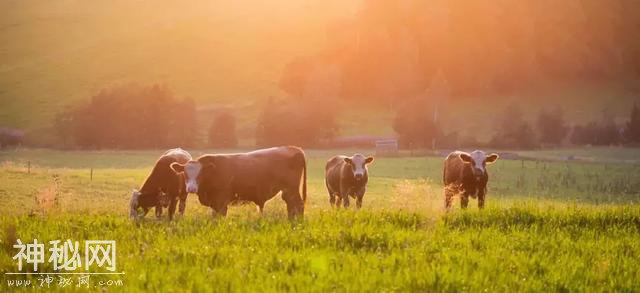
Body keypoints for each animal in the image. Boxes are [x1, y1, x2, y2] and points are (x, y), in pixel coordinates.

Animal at [169, 146, 308, 219]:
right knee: (292, 205)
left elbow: (220, 215)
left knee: (298, 205)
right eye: (185, 173)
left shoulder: (221, 200)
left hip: (291, 189)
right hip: (288, 191)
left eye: (201, 173)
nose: (191, 188)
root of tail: (292, 148)